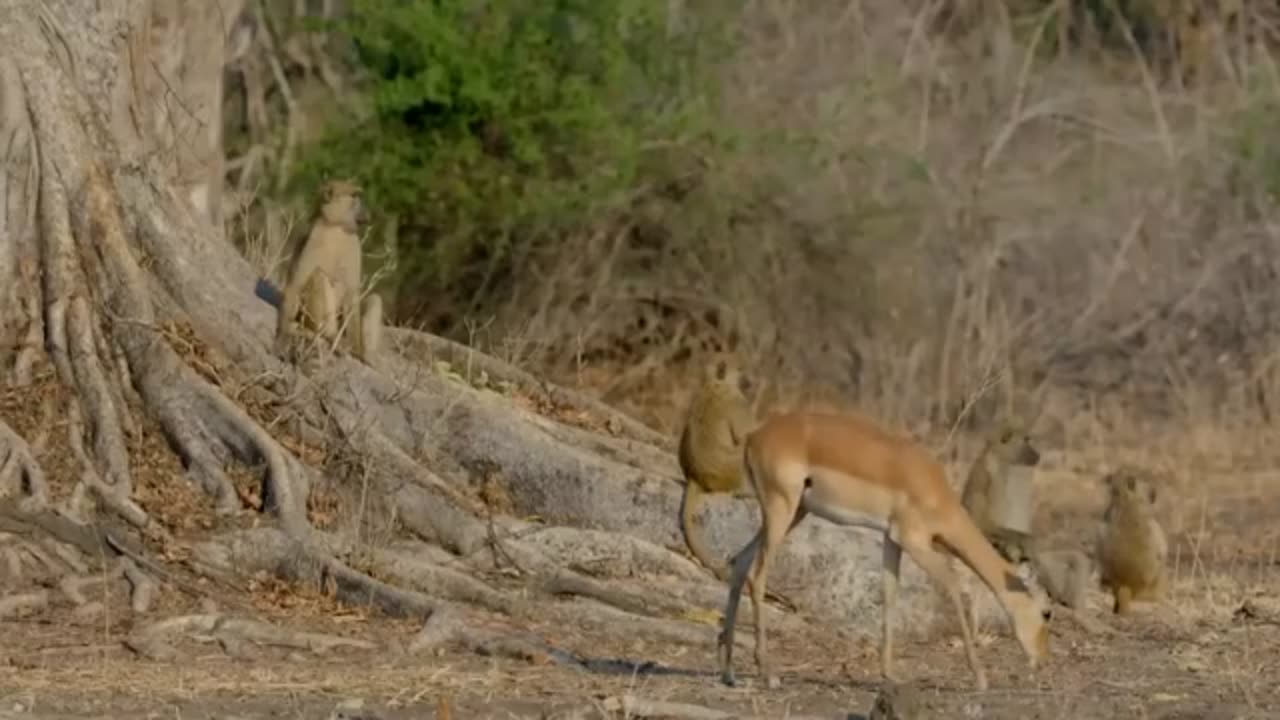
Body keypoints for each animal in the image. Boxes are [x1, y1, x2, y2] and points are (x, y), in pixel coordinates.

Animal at [274, 179, 375, 365]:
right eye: (355, 196)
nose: (367, 212)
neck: (335, 227)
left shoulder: (354, 244)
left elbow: (352, 294)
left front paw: (357, 351)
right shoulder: (313, 240)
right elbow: (296, 284)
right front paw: (282, 338)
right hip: (308, 316)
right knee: (318, 276)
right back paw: (328, 335)